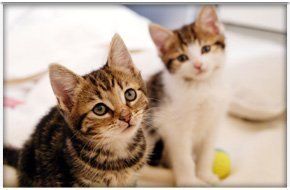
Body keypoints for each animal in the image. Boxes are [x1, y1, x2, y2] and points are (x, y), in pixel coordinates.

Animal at [146, 6, 228, 186]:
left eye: (206, 49)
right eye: (182, 58)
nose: (198, 65)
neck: (201, 87)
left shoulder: (214, 120)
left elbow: (207, 152)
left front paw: (205, 175)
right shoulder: (177, 127)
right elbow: (184, 158)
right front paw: (189, 181)